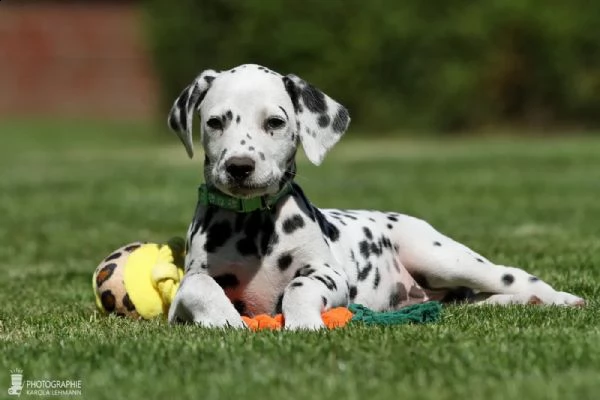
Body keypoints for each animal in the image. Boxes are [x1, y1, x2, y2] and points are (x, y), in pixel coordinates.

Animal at [165, 63, 584, 332]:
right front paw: (222, 318)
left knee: (515, 277)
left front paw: (304, 323)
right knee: (476, 300)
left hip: (445, 258)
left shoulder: (329, 275)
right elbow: (200, 287)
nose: (239, 167)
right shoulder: (193, 280)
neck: (254, 225)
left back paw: (560, 299)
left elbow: (300, 287)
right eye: (215, 122)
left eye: (275, 122)